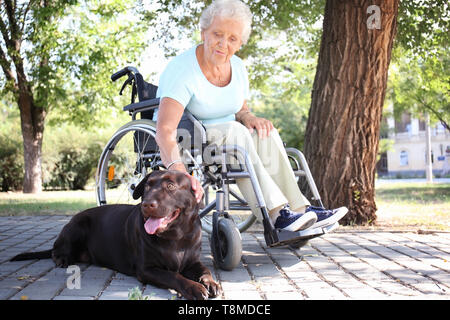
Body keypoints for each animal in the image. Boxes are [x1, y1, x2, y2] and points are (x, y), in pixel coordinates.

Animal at [9, 171, 221, 298]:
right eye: (148, 186)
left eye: (170, 186)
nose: (147, 204)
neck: (175, 236)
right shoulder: (147, 269)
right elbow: (174, 276)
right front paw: (194, 287)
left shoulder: (193, 262)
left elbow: (205, 270)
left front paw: (211, 283)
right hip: (77, 225)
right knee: (56, 249)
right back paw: (62, 258)